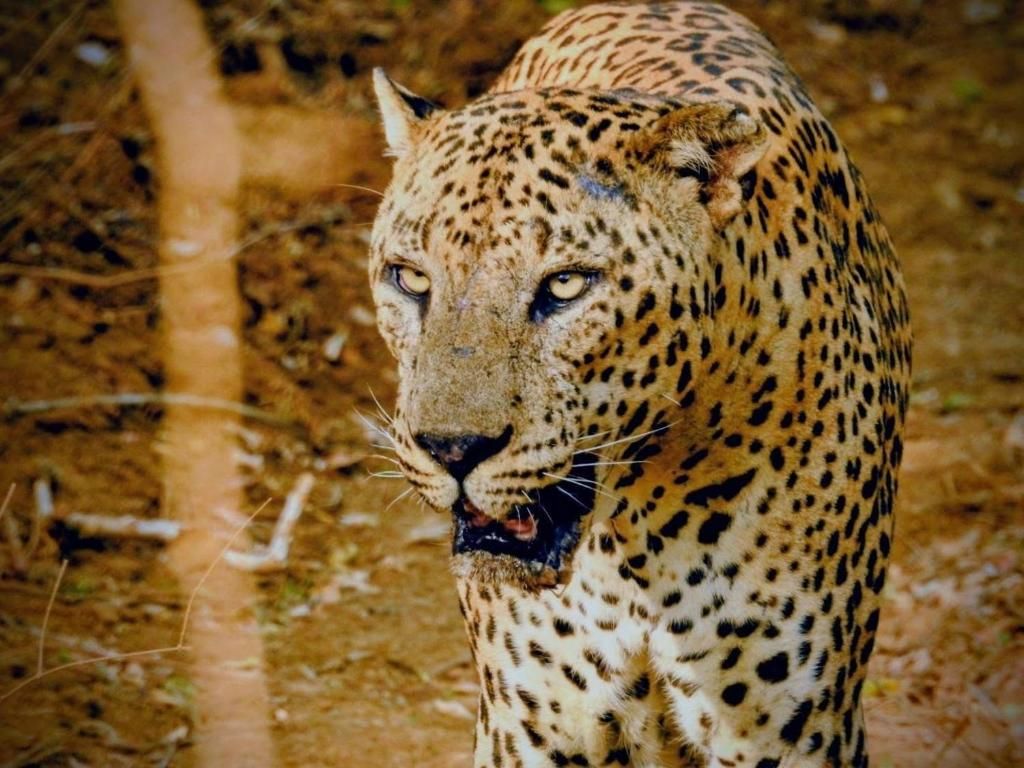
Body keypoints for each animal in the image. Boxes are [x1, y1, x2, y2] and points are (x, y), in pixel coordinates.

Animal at [367, 2, 911, 766]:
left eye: (566, 285)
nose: (451, 449)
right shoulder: (529, 725)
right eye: (410, 278)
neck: (637, 543)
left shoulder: (793, 732)